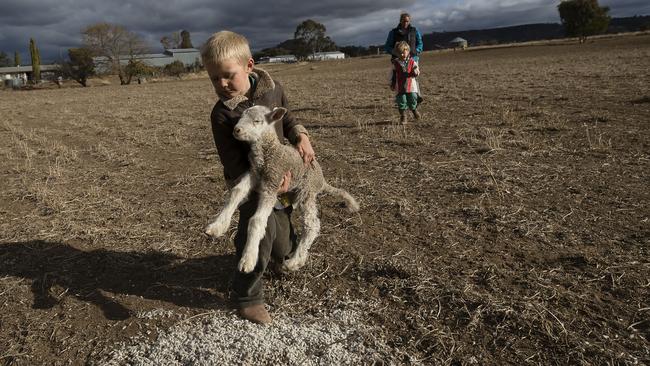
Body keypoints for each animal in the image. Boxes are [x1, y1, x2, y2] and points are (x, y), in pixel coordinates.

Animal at [205, 104, 356, 274]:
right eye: (240, 117)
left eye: (257, 121)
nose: (236, 130)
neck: (268, 152)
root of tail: (322, 180)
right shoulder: (254, 173)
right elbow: (237, 191)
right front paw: (217, 227)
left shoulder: (273, 182)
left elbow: (256, 220)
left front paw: (248, 259)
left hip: (307, 192)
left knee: (312, 225)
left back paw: (294, 262)